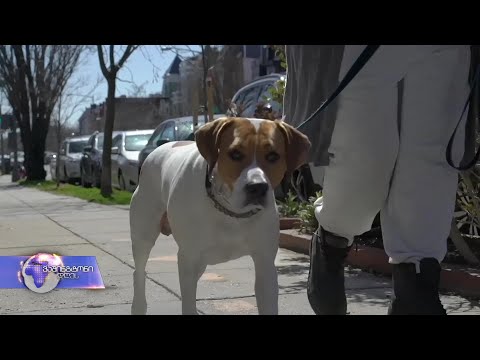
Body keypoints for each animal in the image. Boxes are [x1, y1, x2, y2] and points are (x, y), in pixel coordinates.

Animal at [129, 116, 312, 314]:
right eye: (235, 154)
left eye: (273, 156)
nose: (257, 187)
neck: (231, 212)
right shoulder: (189, 257)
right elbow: (188, 302)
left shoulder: (265, 263)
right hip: (144, 234)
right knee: (139, 270)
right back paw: (138, 305)